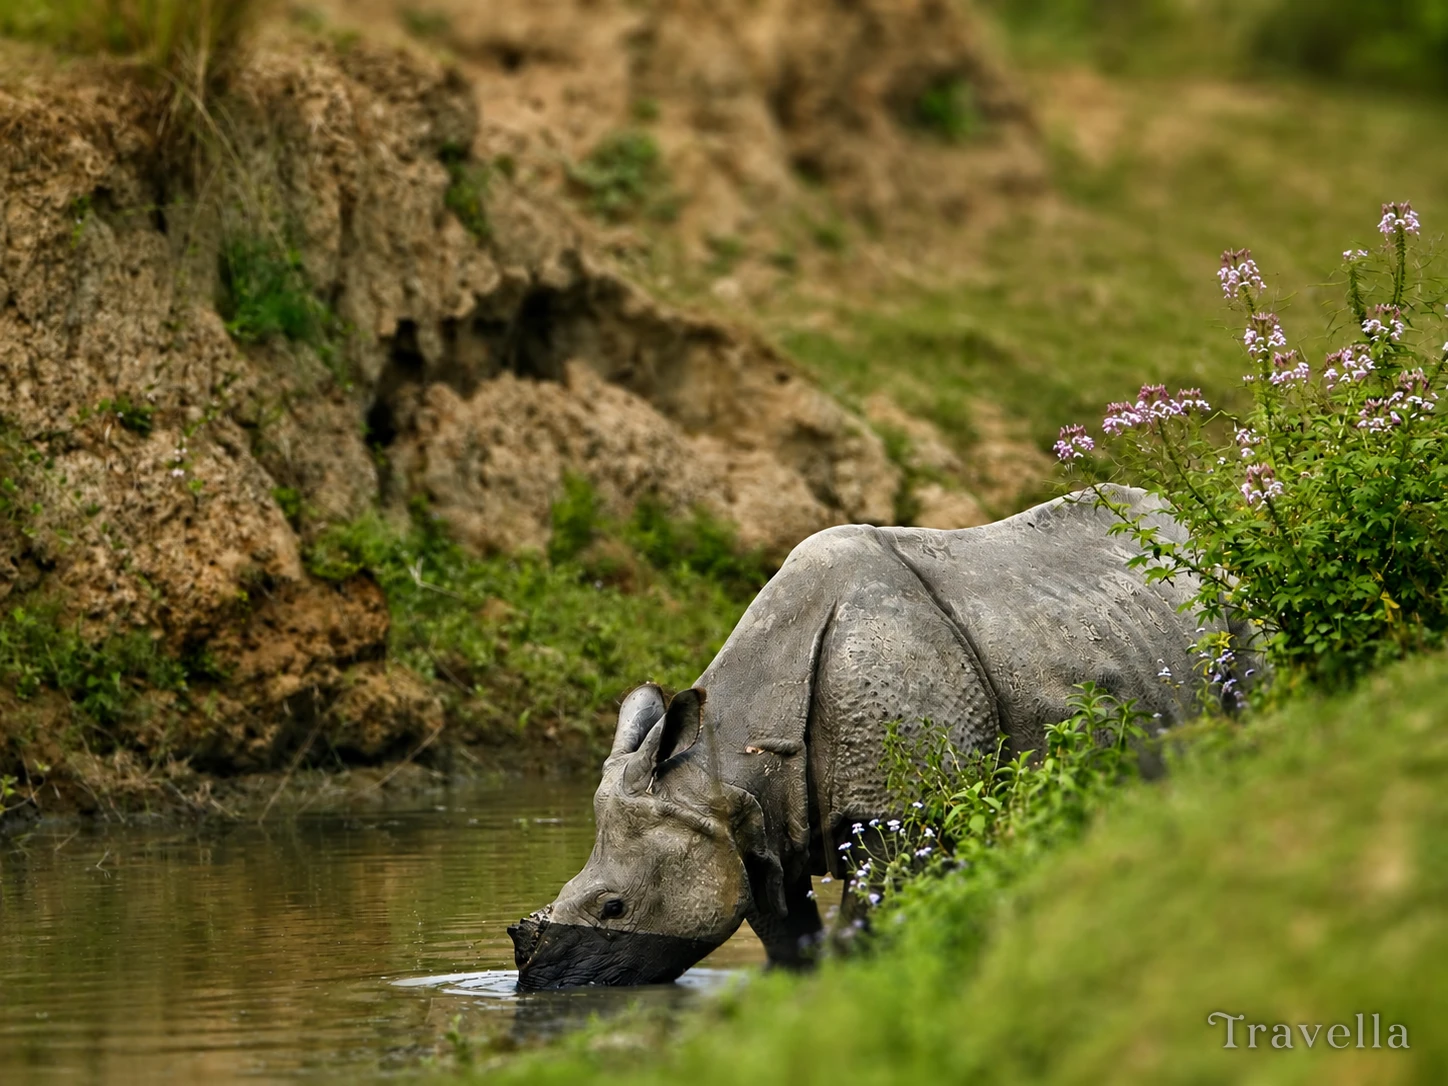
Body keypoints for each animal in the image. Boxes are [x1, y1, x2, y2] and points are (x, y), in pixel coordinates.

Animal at [508, 485, 1253, 989]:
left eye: (614, 907)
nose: (539, 986)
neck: (724, 762)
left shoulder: (900, 807)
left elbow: (868, 924)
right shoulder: (748, 832)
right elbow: (789, 938)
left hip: (1230, 601)